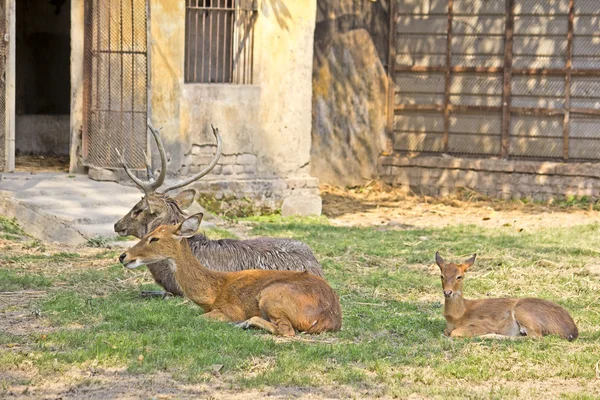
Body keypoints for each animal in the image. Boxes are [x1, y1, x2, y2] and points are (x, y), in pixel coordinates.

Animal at [118, 214, 342, 336]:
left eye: (154, 238)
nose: (123, 256)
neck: (213, 292)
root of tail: (330, 319)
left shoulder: (230, 309)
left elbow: (198, 318)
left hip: (272, 295)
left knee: (286, 330)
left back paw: (242, 323)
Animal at [434, 253, 580, 340]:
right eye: (442, 276)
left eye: (459, 276)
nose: (447, 292)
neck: (458, 315)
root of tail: (572, 330)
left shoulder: (483, 323)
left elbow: (454, 333)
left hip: (524, 311)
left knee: (534, 336)